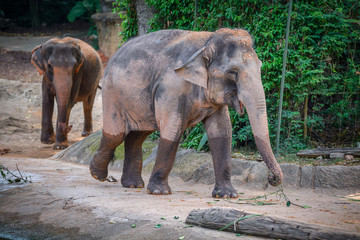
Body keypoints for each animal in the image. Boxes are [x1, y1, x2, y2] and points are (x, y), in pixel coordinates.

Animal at [88, 28, 282, 198]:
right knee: (117, 134)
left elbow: (222, 134)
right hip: (113, 94)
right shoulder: (171, 87)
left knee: (137, 136)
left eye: (260, 67)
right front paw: (159, 192)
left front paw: (227, 195)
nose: (271, 178)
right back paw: (98, 174)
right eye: (233, 72)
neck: (206, 42)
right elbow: (172, 131)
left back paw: (132, 184)